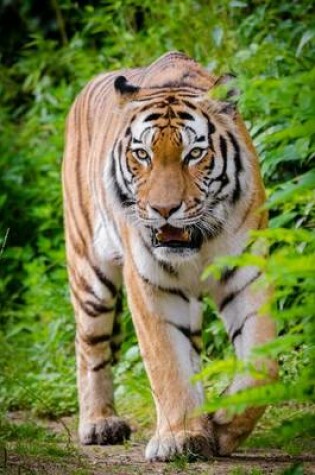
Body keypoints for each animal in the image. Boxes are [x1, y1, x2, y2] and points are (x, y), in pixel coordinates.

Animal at [62, 51, 278, 462]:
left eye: (194, 153)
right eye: (141, 154)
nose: (163, 210)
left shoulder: (247, 274)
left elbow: (262, 364)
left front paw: (222, 427)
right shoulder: (152, 284)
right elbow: (167, 364)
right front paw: (179, 438)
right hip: (90, 271)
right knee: (90, 345)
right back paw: (100, 424)